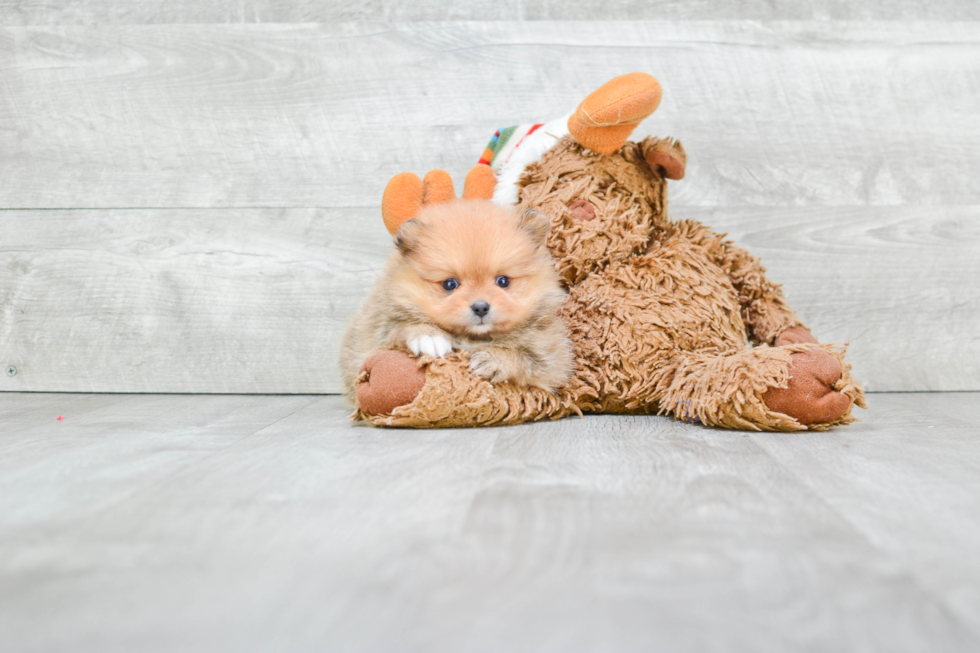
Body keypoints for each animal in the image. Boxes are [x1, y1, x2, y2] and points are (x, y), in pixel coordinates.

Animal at [340, 197, 576, 392]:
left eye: (503, 281)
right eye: (450, 284)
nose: (480, 306)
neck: (473, 337)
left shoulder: (553, 355)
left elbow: (526, 358)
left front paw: (493, 358)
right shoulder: (377, 329)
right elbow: (401, 327)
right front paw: (428, 336)